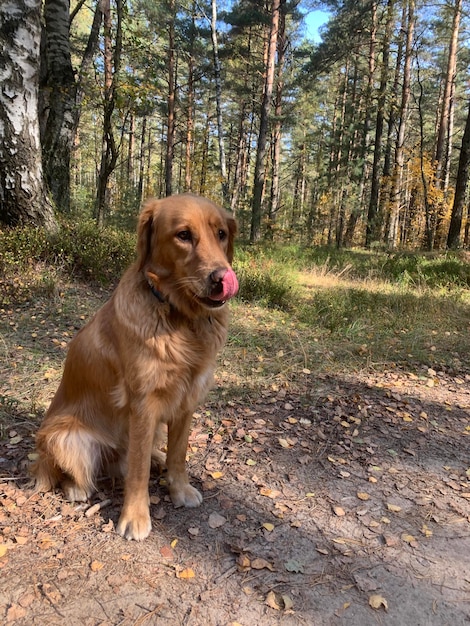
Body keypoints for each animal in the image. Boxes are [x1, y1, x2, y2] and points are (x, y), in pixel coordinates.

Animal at [33, 194, 239, 536]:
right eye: (184, 235)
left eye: (221, 234)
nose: (221, 279)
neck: (179, 317)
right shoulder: (143, 403)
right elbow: (138, 470)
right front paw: (135, 517)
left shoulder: (187, 399)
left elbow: (178, 454)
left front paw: (179, 489)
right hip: (63, 437)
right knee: (67, 470)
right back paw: (76, 488)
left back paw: (157, 458)